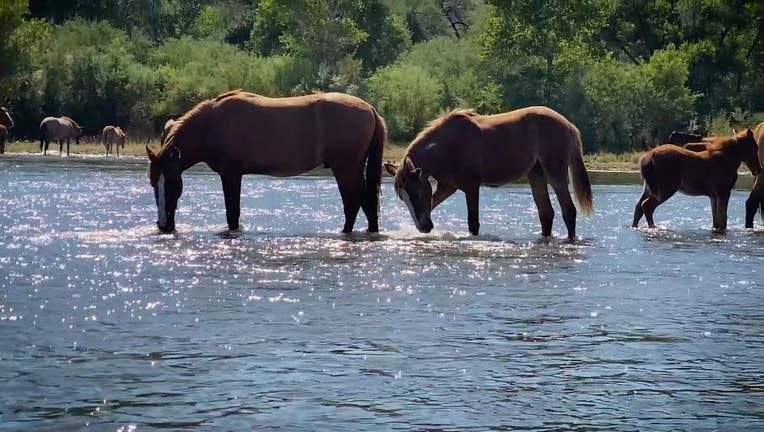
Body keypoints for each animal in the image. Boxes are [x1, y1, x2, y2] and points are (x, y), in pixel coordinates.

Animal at [148, 89, 388, 235]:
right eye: (153, 184)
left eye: (170, 183)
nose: (164, 225)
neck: (211, 124)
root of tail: (370, 110)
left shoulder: (230, 175)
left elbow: (232, 213)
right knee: (366, 202)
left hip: (346, 169)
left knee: (354, 201)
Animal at [384, 106, 592, 238]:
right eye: (403, 197)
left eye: (416, 194)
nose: (424, 228)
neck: (448, 145)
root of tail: (569, 125)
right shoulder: (447, 187)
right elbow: (432, 204)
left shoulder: (471, 187)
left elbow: (473, 223)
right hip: (536, 174)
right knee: (546, 214)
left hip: (556, 174)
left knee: (568, 211)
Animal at [628, 128, 760, 233]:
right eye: (755, 147)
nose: (758, 169)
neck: (728, 159)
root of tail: (649, 156)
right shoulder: (723, 192)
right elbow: (723, 221)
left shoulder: (713, 196)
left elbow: (716, 221)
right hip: (665, 189)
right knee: (647, 206)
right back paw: (653, 228)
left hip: (649, 187)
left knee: (638, 206)